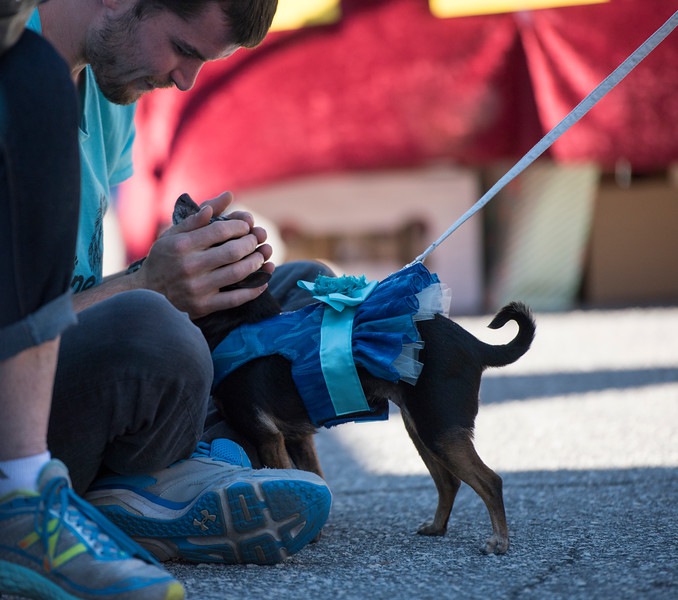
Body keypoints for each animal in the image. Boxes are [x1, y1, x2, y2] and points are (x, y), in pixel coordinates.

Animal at [175, 195, 536, 556]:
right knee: (449, 481)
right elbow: (313, 477)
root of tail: (475, 344)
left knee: (489, 481)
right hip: (421, 427)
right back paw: (437, 527)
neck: (238, 324)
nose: (184, 198)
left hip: (438, 427)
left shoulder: (268, 436)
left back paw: (499, 541)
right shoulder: (298, 438)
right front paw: (315, 530)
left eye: (215, 226)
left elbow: (283, 475)